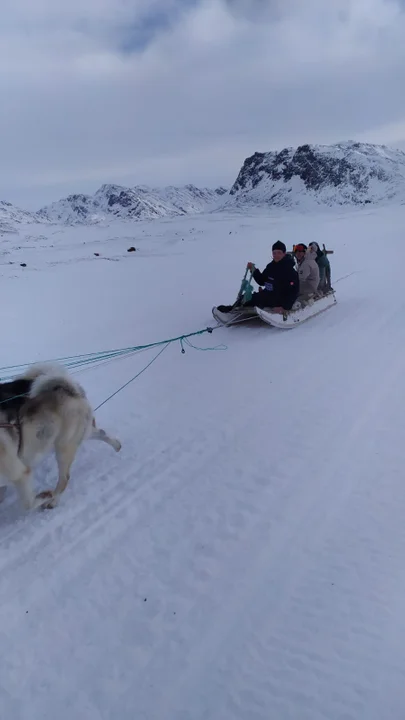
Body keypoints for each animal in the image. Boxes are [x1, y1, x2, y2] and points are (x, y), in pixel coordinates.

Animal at [0, 366, 120, 512]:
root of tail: (71, 392)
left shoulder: (20, 473)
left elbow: (28, 503)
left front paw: (46, 495)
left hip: (63, 449)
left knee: (64, 479)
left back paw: (54, 499)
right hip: (78, 435)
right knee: (100, 432)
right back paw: (116, 445)